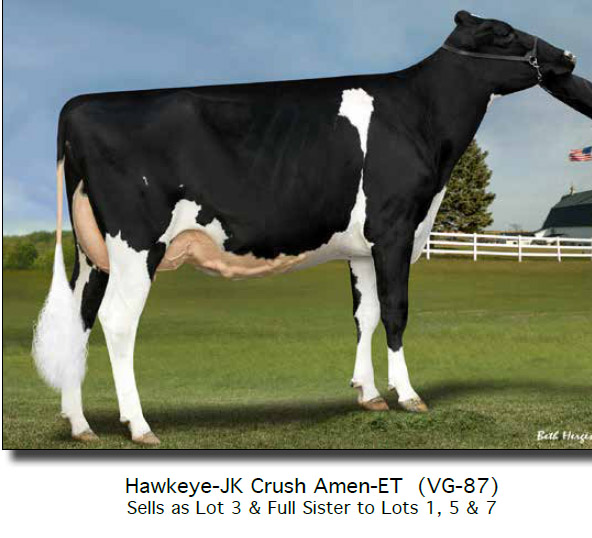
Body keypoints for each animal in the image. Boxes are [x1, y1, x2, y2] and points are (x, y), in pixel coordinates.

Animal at [33, 11, 590, 445]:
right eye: (503, 32)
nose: (565, 56)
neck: (420, 119)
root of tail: (80, 104)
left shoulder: (363, 248)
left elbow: (365, 315)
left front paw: (369, 394)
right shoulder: (395, 230)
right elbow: (396, 312)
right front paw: (408, 395)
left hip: (94, 254)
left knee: (81, 319)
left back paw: (80, 424)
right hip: (135, 244)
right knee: (117, 322)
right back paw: (139, 425)